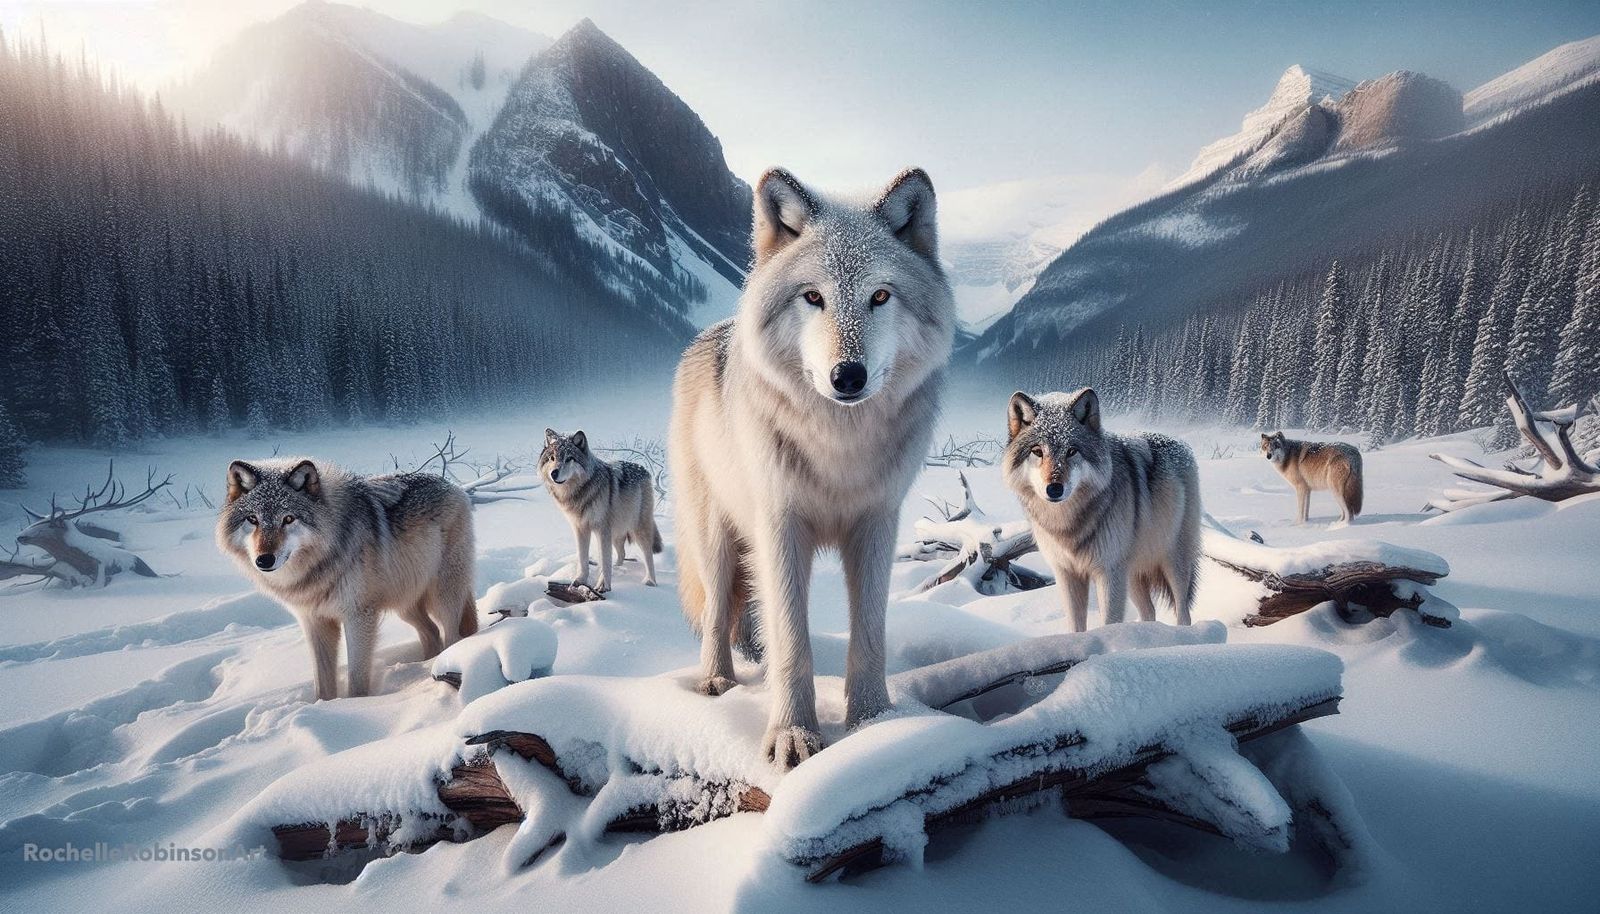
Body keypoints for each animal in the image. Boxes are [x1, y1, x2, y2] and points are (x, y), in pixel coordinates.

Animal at [216, 458, 478, 699]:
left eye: (288, 519)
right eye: (253, 519)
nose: (264, 560)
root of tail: (451, 485)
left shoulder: (358, 617)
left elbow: (357, 679)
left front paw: (353, 705)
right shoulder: (314, 623)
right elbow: (322, 683)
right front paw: (325, 706)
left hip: (442, 596)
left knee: (452, 635)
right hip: (404, 605)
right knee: (432, 632)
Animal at [539, 428, 661, 592]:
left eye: (569, 458)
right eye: (552, 458)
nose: (554, 473)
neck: (579, 494)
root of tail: (644, 469)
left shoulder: (601, 530)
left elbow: (604, 560)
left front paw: (603, 586)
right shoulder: (580, 529)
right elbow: (583, 558)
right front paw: (579, 581)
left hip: (637, 529)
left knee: (648, 554)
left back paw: (650, 581)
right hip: (616, 533)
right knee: (622, 553)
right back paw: (618, 568)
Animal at [670, 166, 955, 769]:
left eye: (879, 296)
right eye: (813, 297)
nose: (847, 376)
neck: (838, 446)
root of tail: (709, 334)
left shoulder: (876, 524)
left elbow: (868, 635)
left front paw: (874, 722)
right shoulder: (780, 527)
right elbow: (791, 642)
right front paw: (792, 735)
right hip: (717, 538)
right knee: (716, 612)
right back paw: (716, 680)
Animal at [1004, 389, 1201, 632]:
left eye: (1072, 451)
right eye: (1037, 451)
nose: (1054, 488)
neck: (1067, 523)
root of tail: (1181, 443)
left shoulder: (1109, 573)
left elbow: (1110, 621)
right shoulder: (1067, 574)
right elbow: (1076, 626)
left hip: (1173, 562)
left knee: (1183, 611)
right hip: (1132, 574)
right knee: (1149, 611)